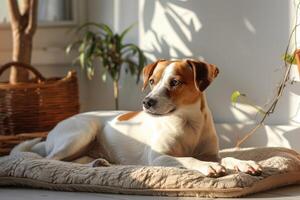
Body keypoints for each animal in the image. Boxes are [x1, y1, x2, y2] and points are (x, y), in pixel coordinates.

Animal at [12, 59, 260, 177]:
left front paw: (244, 163)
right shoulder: (158, 157)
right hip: (82, 131)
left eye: (175, 82)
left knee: (74, 162)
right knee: (52, 160)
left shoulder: (211, 153)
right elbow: (188, 159)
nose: (147, 102)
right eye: (151, 81)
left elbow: (227, 158)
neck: (189, 122)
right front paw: (207, 167)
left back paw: (98, 163)